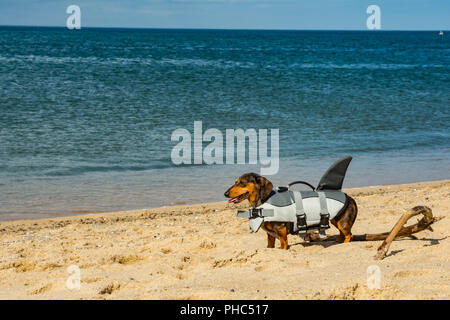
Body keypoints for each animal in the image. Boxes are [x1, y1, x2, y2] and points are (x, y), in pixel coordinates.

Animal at [225, 172, 358, 250]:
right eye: (235, 182)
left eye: (241, 183)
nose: (225, 193)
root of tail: (349, 197)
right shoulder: (270, 235)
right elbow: (270, 245)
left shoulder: (281, 230)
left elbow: (283, 245)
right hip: (336, 220)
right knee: (343, 234)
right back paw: (339, 242)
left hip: (342, 223)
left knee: (349, 235)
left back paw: (344, 244)